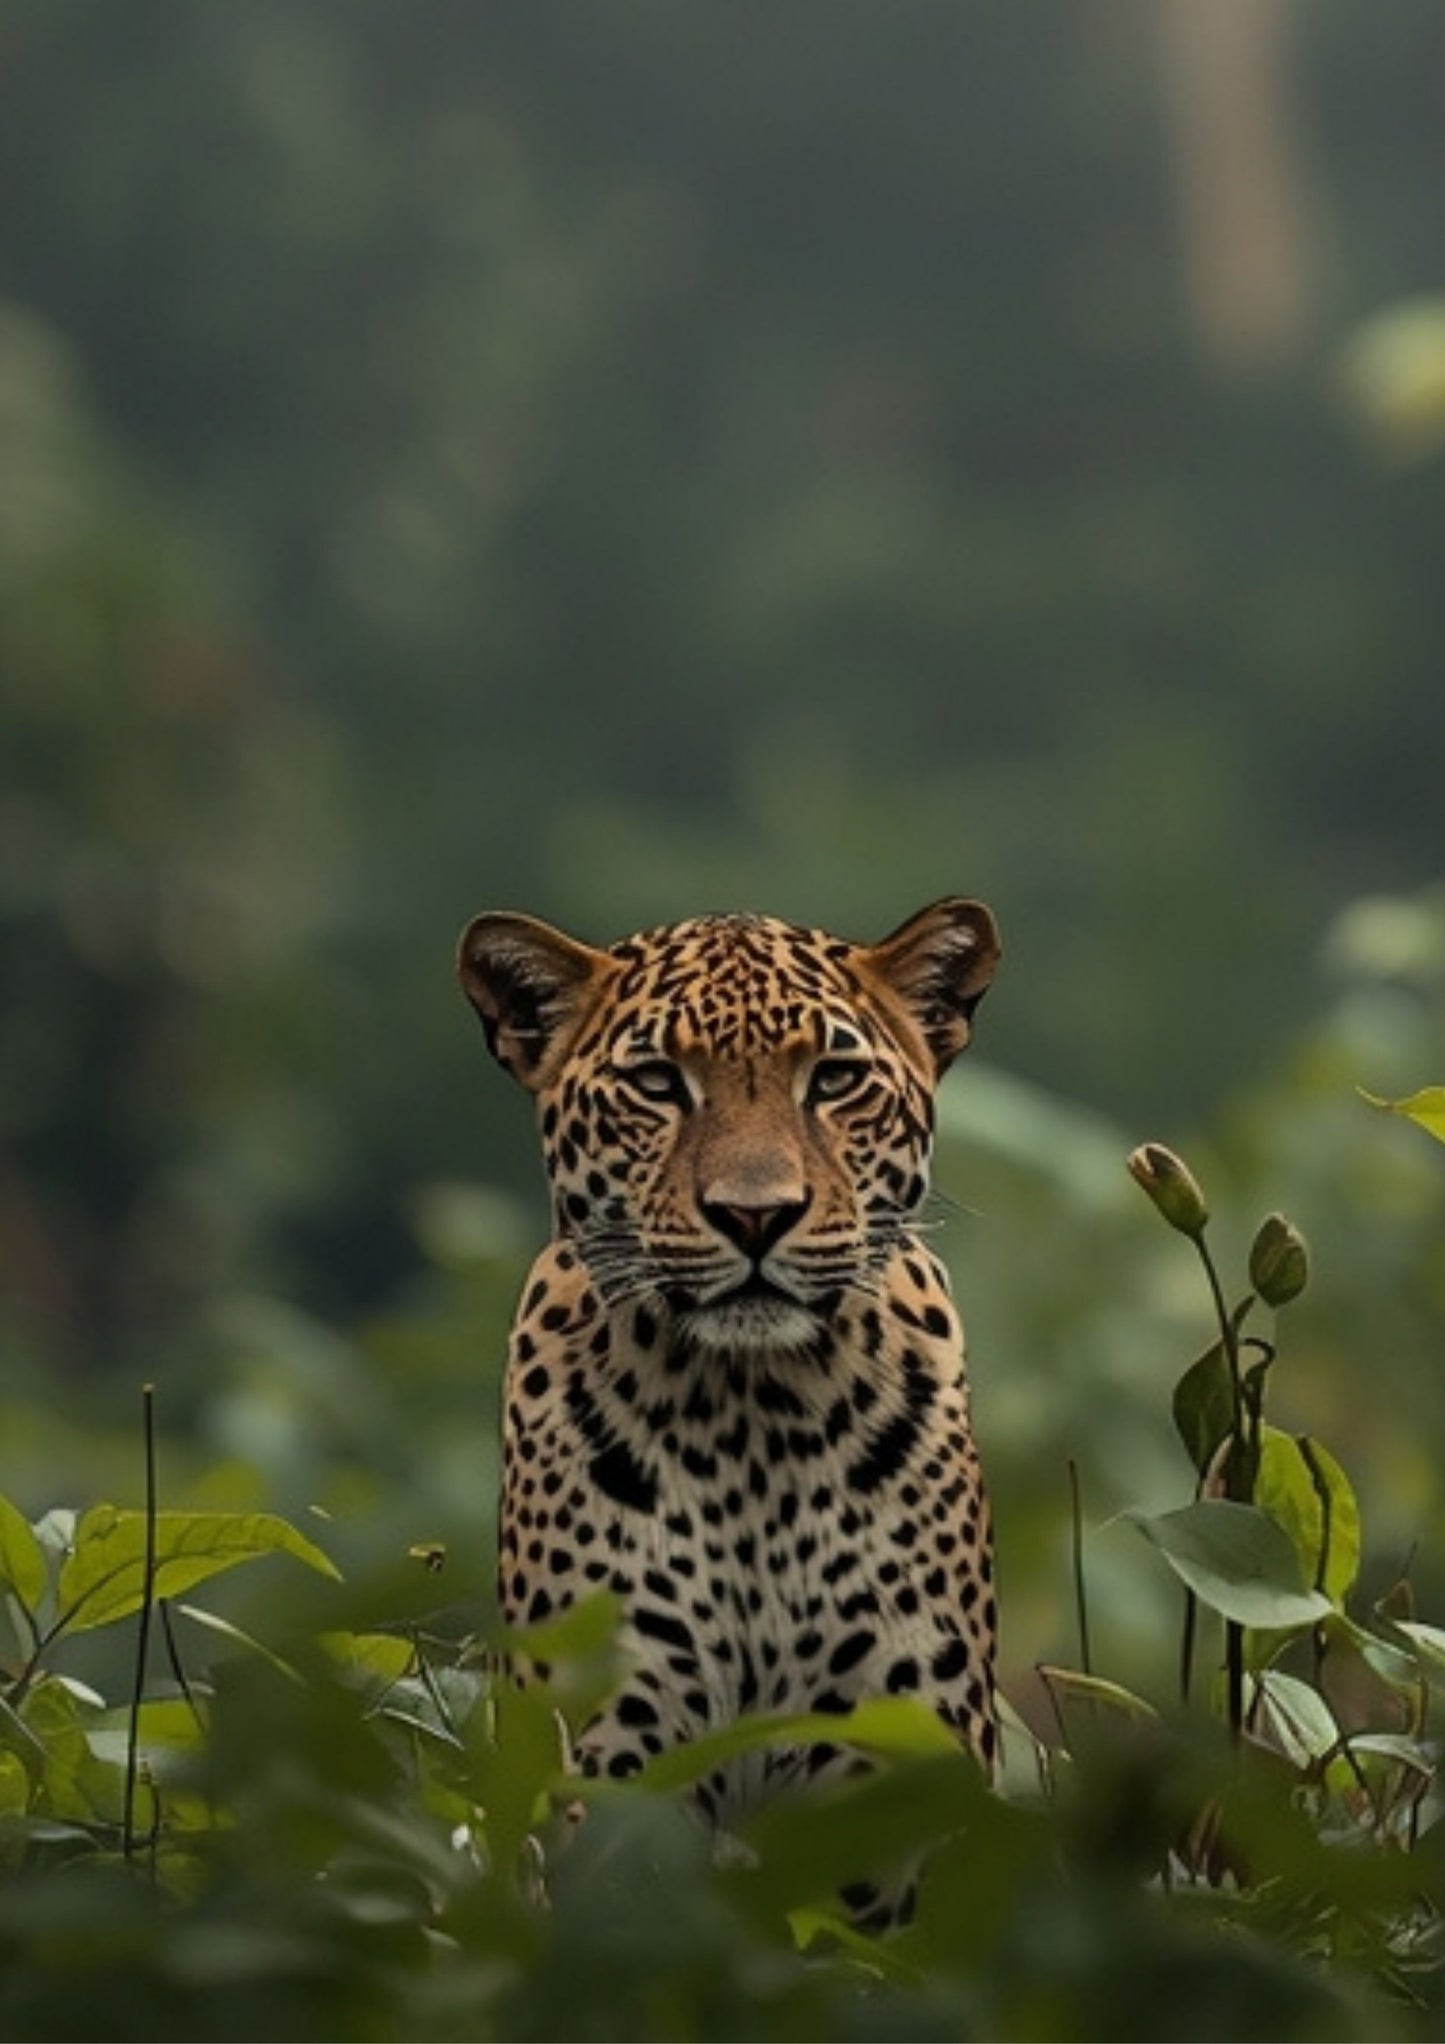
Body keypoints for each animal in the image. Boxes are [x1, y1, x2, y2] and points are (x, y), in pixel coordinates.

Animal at [458, 897, 1002, 1868]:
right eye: (656, 1083)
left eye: (832, 1079)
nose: (755, 1215)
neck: (756, 1412)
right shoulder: (605, 1741)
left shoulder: (900, 1758)